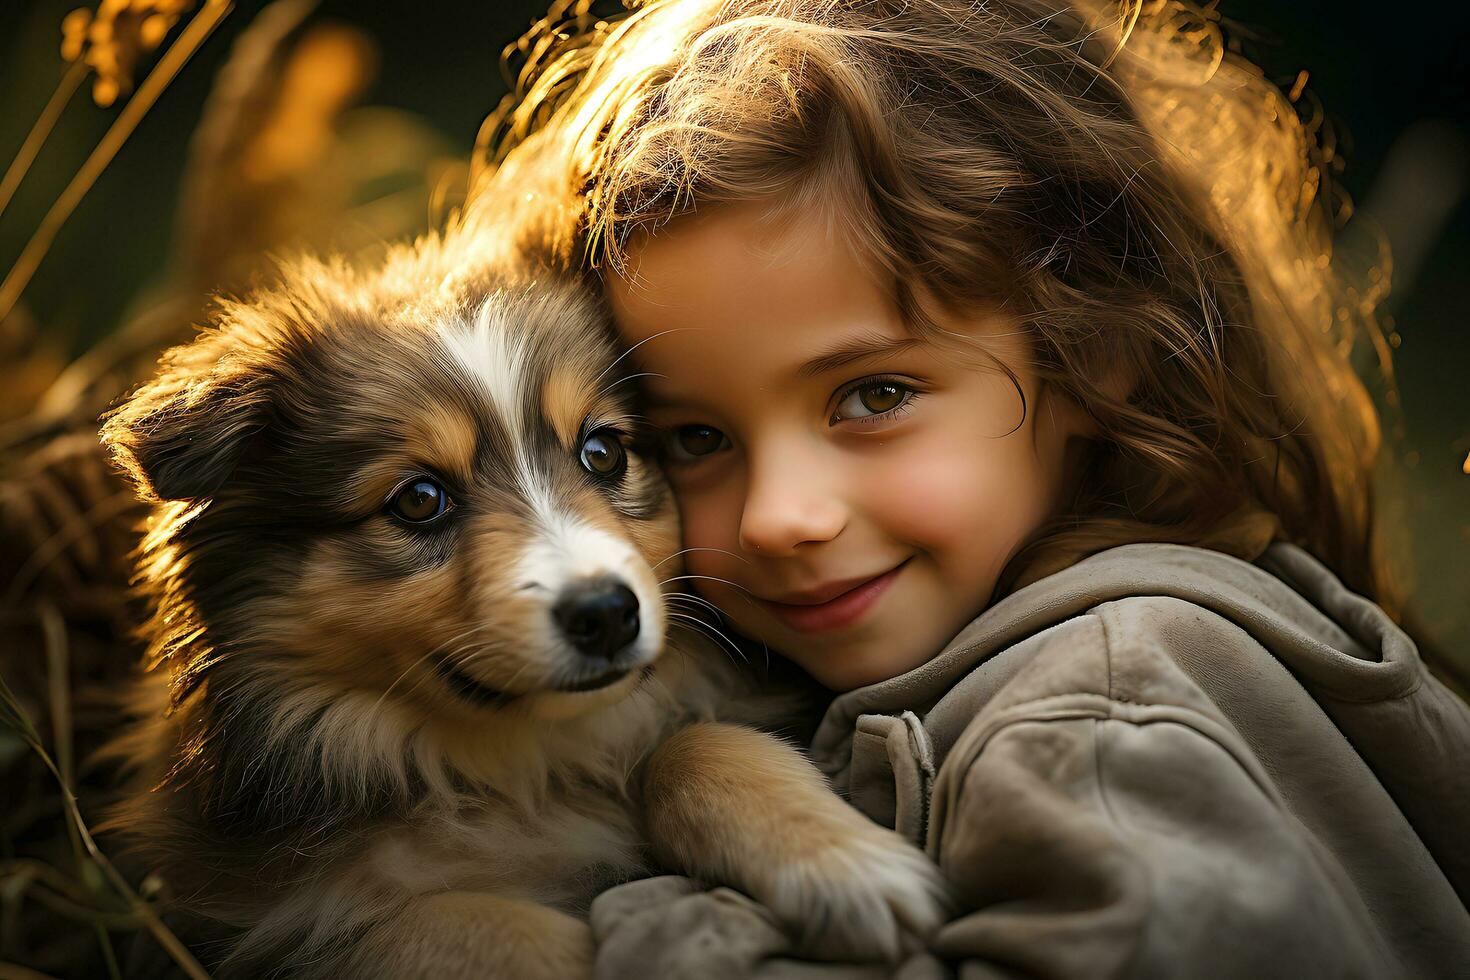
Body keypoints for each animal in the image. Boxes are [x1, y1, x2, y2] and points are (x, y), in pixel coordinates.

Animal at [97, 221, 946, 980]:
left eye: (603, 451)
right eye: (418, 500)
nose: (606, 615)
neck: (526, 763)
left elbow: (698, 743)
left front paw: (843, 863)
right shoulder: (274, 922)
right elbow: (442, 924)